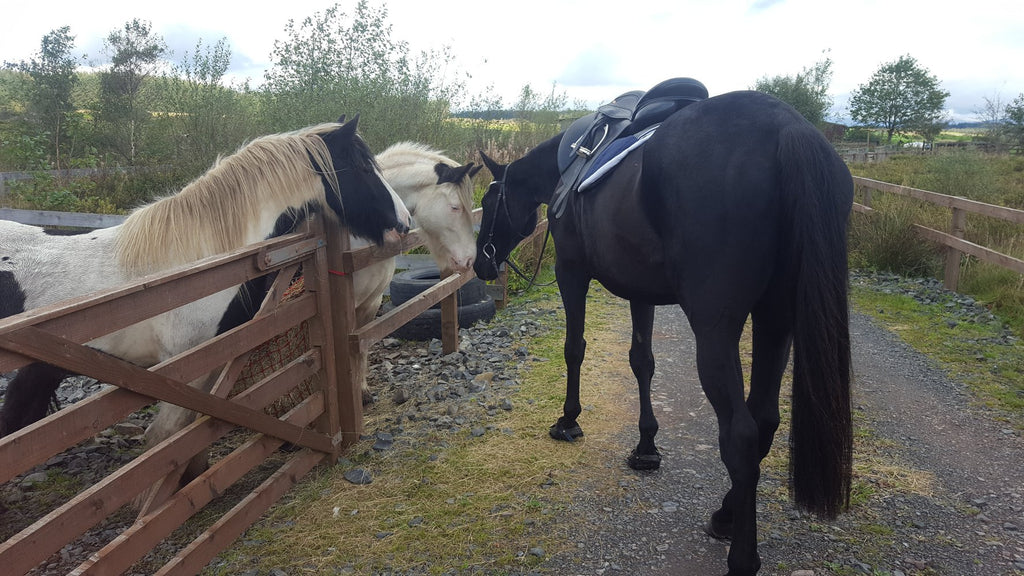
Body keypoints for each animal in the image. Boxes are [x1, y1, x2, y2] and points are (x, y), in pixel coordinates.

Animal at [473, 89, 856, 573]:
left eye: (488, 205)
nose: (479, 264)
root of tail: (789, 128)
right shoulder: (641, 290)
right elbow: (642, 362)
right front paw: (646, 445)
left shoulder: (571, 273)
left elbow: (574, 348)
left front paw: (569, 420)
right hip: (776, 320)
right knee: (765, 419)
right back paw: (726, 514)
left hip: (716, 331)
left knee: (741, 435)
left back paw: (741, 553)